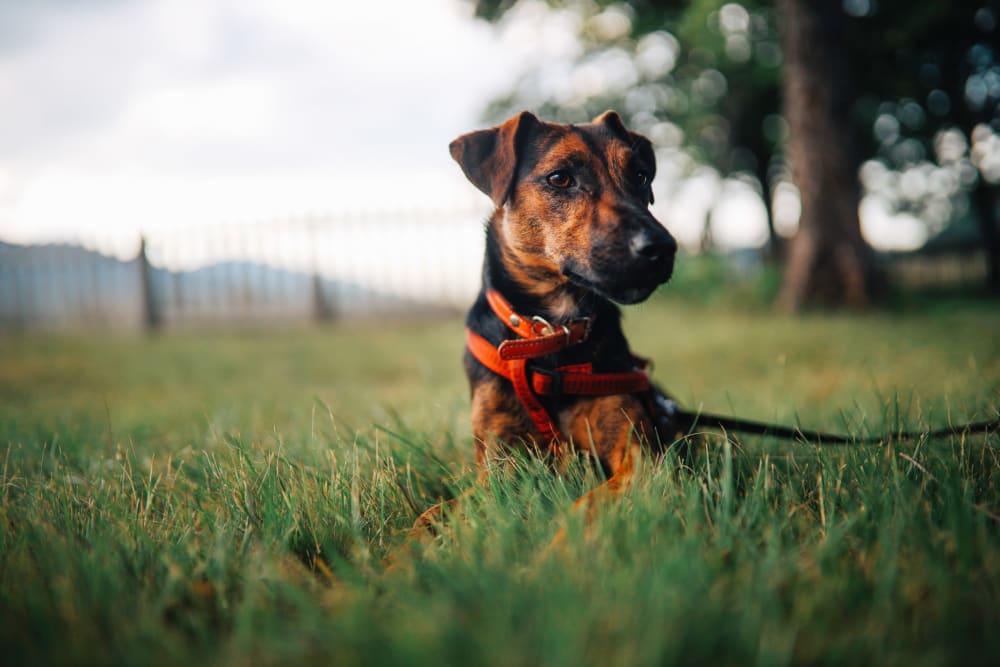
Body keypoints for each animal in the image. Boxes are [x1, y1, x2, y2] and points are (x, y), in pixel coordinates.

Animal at [412, 109, 680, 536]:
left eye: (640, 174)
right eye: (560, 178)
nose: (662, 248)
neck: (552, 332)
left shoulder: (640, 455)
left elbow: (587, 504)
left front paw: (559, 546)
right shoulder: (498, 465)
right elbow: (434, 515)